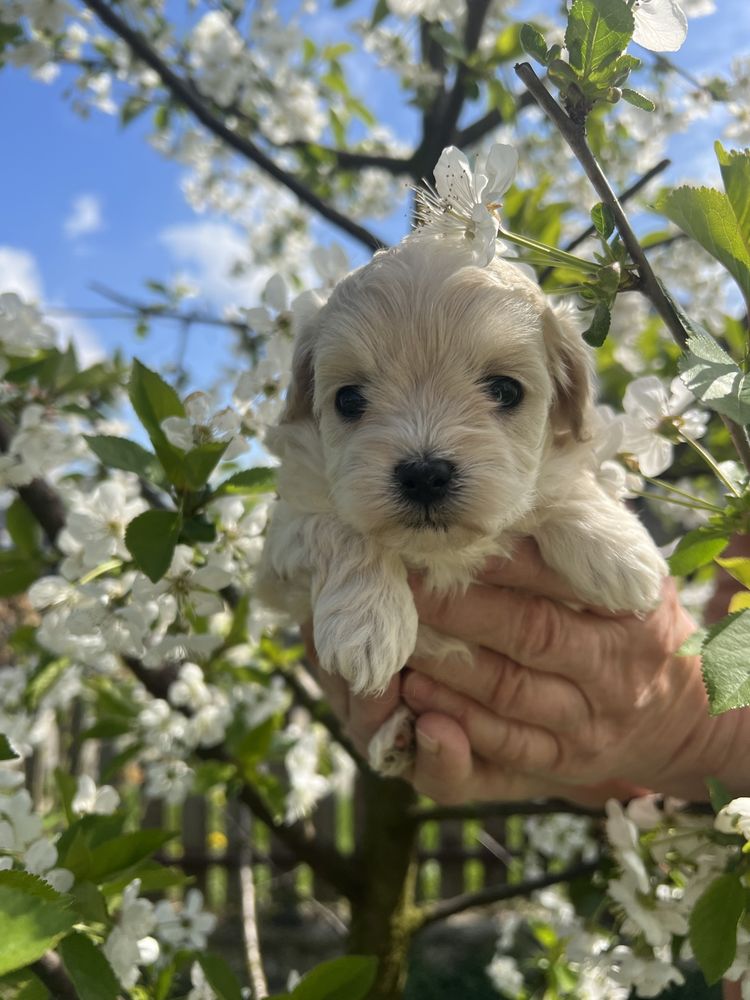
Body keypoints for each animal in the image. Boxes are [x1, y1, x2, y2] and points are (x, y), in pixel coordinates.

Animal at [260, 234, 668, 772]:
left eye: (505, 390)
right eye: (348, 400)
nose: (424, 474)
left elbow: (563, 484)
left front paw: (621, 553)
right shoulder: (281, 542)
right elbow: (337, 527)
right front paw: (366, 625)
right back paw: (395, 738)